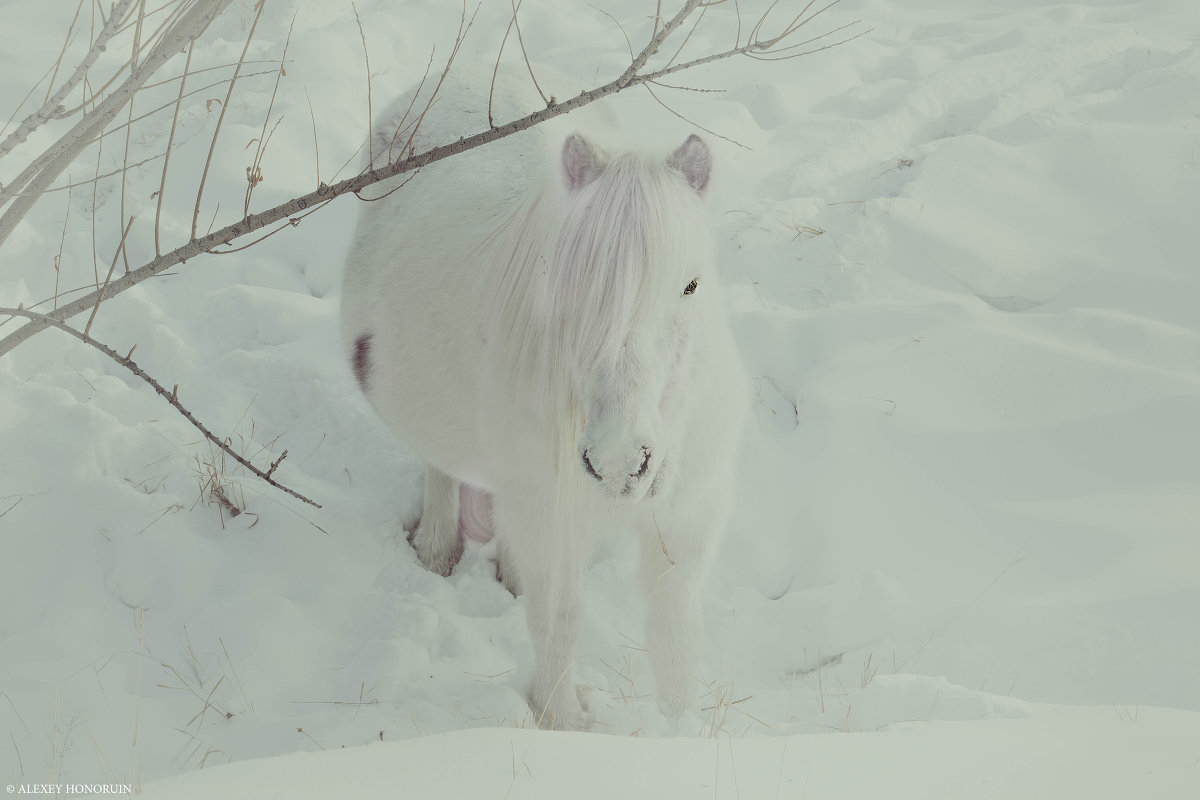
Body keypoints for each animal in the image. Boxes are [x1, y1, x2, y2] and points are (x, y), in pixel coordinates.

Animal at [343, 70, 744, 734]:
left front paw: (682, 724)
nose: (618, 462)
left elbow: (674, 630)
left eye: (691, 284)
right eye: (572, 282)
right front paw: (562, 724)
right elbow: (559, 619)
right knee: (440, 467)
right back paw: (437, 548)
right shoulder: (550, 513)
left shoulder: (689, 514)